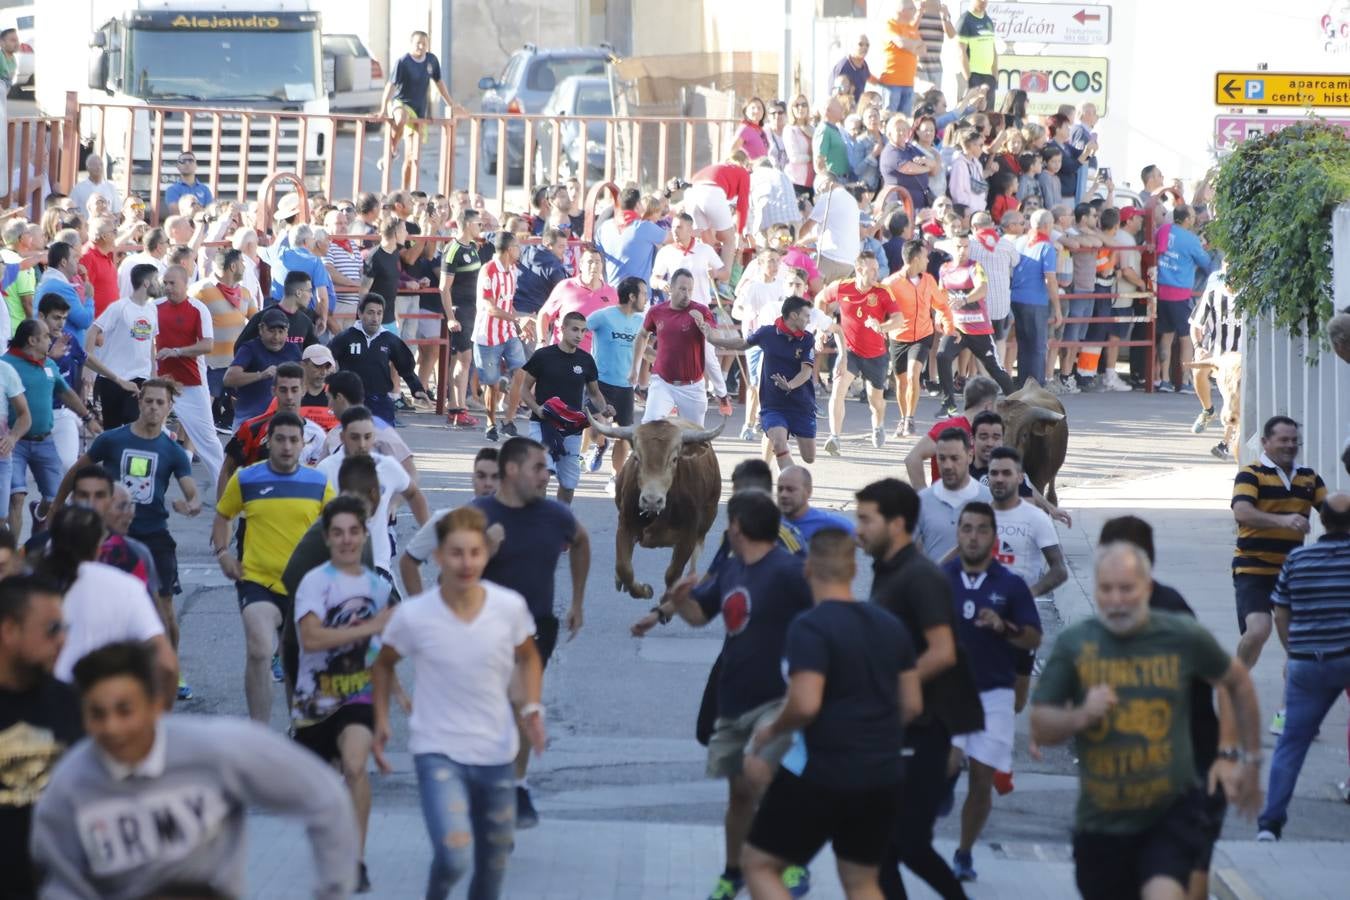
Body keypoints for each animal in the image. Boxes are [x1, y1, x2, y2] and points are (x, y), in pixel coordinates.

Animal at [585, 412, 723, 599]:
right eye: (636, 457)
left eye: (674, 459)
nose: (651, 500)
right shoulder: (625, 525)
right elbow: (624, 568)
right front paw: (642, 590)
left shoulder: (689, 536)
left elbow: (673, 574)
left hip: (706, 523)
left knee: (695, 559)